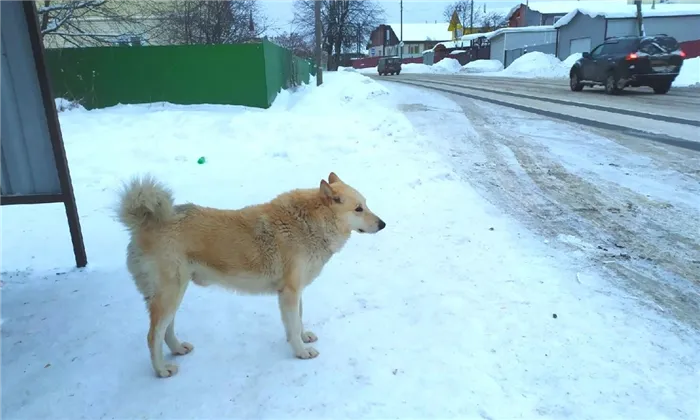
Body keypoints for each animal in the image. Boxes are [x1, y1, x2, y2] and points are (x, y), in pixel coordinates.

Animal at [117, 172, 386, 378]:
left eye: (366, 204)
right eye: (358, 209)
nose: (382, 224)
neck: (311, 223)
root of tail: (144, 223)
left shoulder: (295, 290)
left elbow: (298, 319)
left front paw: (303, 337)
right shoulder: (289, 292)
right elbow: (293, 324)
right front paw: (300, 352)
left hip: (174, 293)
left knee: (166, 330)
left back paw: (177, 349)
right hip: (170, 294)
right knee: (152, 335)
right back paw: (161, 370)